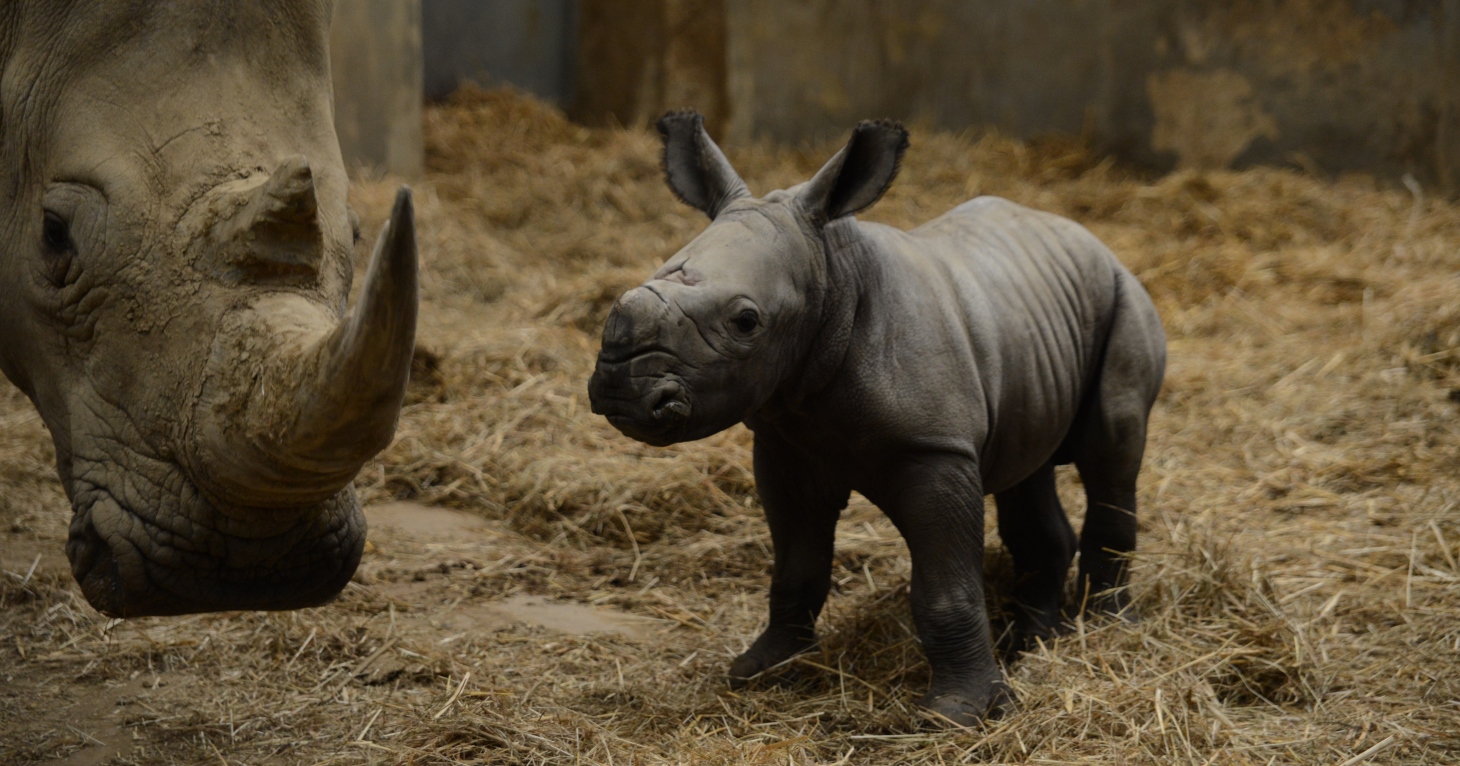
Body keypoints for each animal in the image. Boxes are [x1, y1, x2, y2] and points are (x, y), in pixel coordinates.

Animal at [588, 112, 1166, 724]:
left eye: (745, 321)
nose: (623, 389)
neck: (832, 277)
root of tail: (1090, 239)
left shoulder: (935, 449)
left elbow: (945, 588)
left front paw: (955, 713)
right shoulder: (785, 444)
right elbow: (796, 566)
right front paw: (761, 670)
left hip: (1124, 297)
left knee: (1111, 453)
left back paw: (1106, 632)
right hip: (1032, 326)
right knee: (1027, 467)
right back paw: (1032, 643)